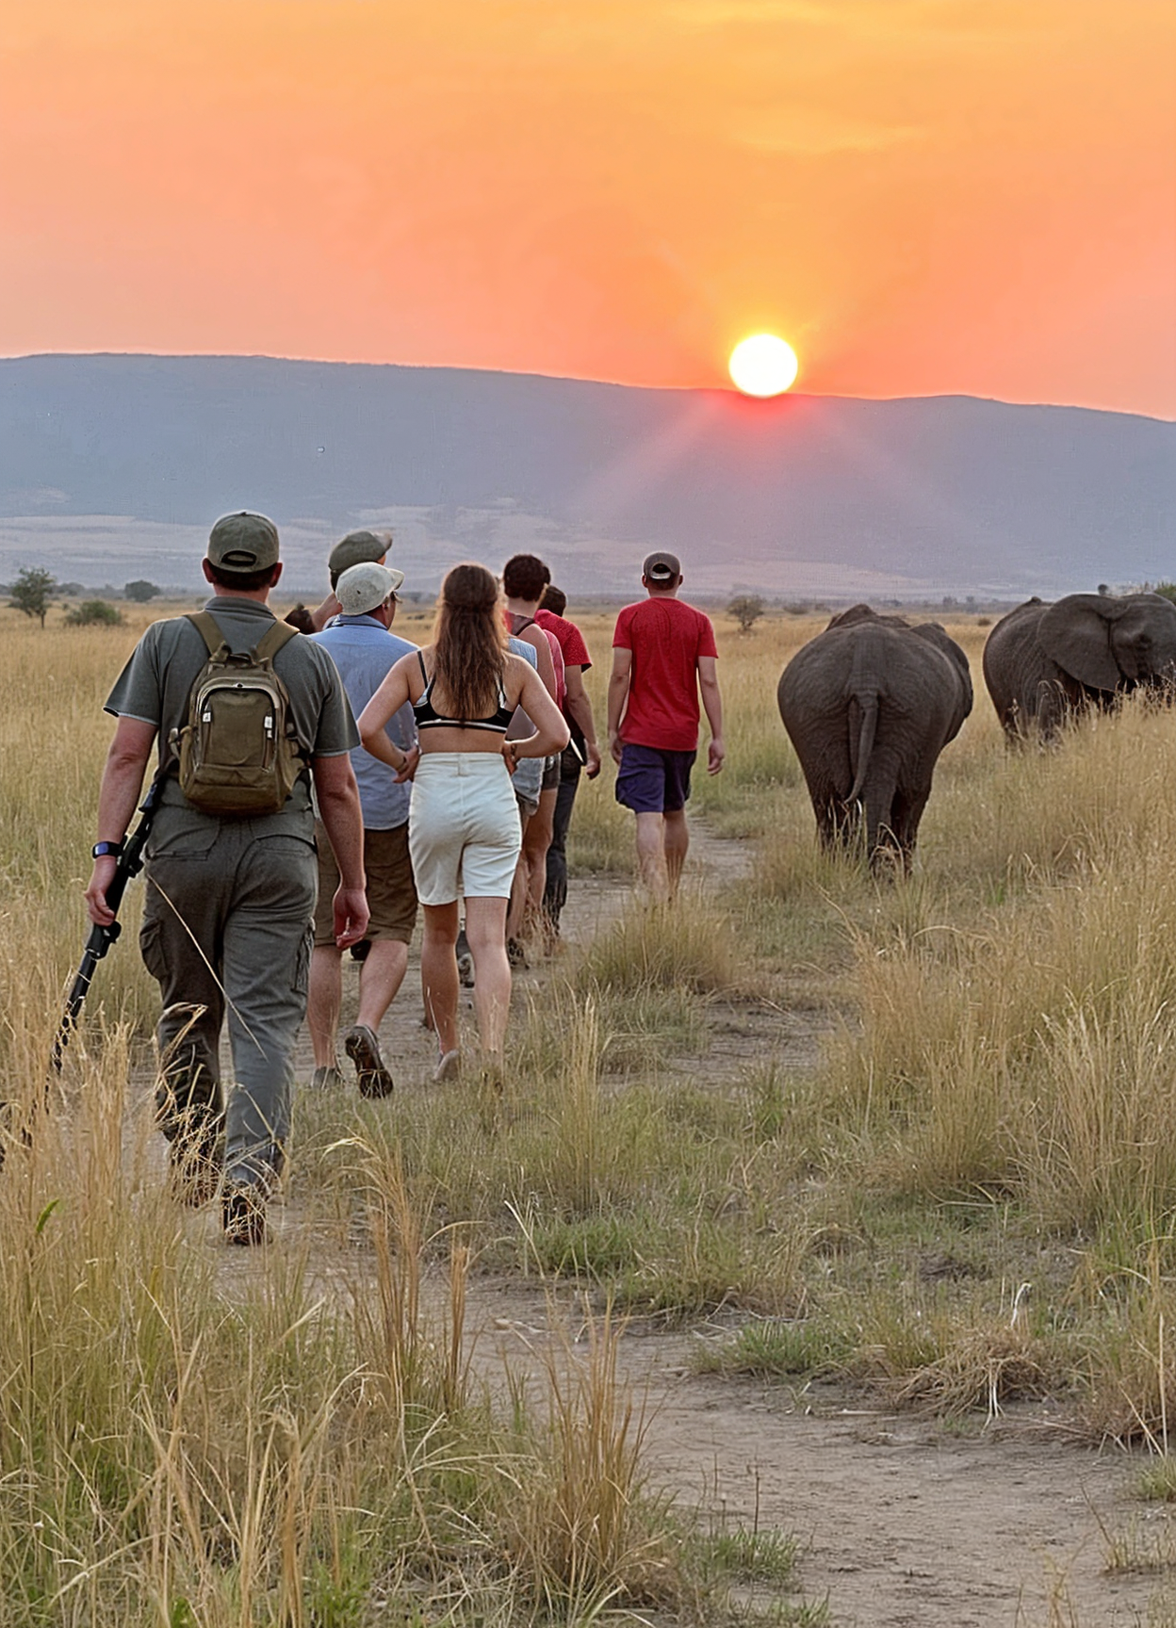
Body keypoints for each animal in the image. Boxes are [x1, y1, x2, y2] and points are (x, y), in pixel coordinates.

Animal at [775, 605, 964, 872]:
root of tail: (866, 675)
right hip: (910, 710)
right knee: (908, 797)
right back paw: (884, 872)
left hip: (820, 711)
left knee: (830, 799)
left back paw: (854, 868)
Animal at [977, 592, 1172, 745]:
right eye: (1141, 642)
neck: (1114, 604)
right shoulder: (1053, 663)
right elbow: (1052, 714)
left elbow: (1110, 711)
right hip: (994, 678)